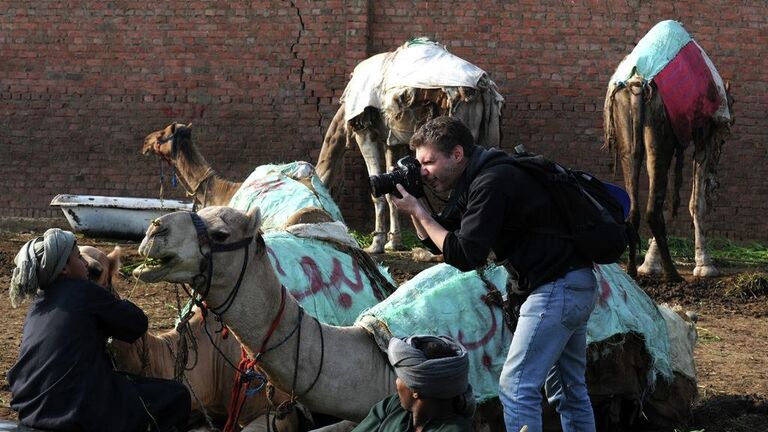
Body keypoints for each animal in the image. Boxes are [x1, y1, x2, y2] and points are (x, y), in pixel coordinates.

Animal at [314, 38, 504, 255]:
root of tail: (484, 85)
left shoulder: (364, 130)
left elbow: (377, 193)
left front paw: (375, 245)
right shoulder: (393, 140)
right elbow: (390, 193)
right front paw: (394, 243)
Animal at [604, 21, 736, 280]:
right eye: (723, 141)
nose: (716, 184)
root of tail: (638, 82)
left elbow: (669, 202)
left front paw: (649, 265)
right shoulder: (704, 135)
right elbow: (696, 202)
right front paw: (705, 266)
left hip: (628, 126)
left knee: (637, 198)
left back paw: (634, 270)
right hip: (659, 129)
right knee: (653, 209)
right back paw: (672, 274)